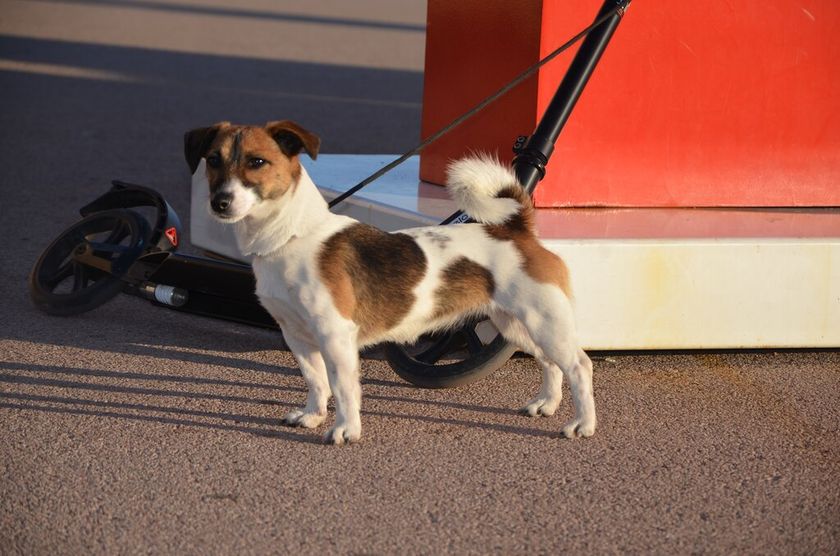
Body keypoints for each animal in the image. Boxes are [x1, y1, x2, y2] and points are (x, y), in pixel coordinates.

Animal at [185, 119, 596, 446]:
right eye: (213, 160)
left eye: (257, 162)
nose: (220, 202)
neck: (292, 236)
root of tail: (517, 231)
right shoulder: (297, 336)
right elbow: (316, 382)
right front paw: (313, 416)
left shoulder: (335, 337)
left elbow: (343, 387)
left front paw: (345, 430)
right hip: (516, 327)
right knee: (551, 365)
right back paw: (546, 404)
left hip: (544, 323)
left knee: (578, 366)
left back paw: (583, 424)